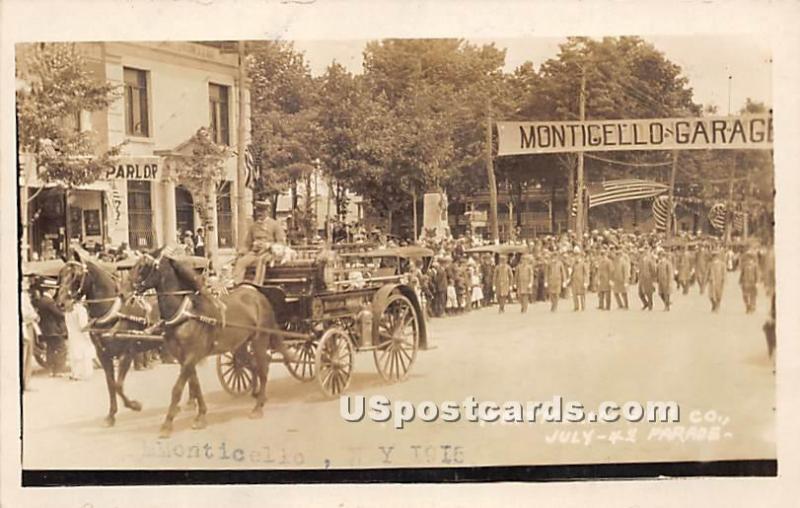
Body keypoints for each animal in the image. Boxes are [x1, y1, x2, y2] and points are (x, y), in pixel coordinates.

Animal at [55, 249, 162, 424]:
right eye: (60, 274)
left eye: (76, 275)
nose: (61, 303)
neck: (112, 313)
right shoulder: (103, 354)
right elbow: (111, 384)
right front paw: (111, 415)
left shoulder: (127, 353)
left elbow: (118, 385)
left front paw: (134, 405)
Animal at [126, 246, 274, 436]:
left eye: (143, 266)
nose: (125, 288)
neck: (186, 314)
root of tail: (258, 295)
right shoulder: (184, 358)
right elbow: (195, 386)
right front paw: (201, 415)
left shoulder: (191, 356)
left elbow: (177, 389)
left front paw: (167, 424)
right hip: (240, 346)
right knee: (253, 366)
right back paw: (258, 396)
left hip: (259, 341)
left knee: (263, 369)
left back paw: (258, 407)